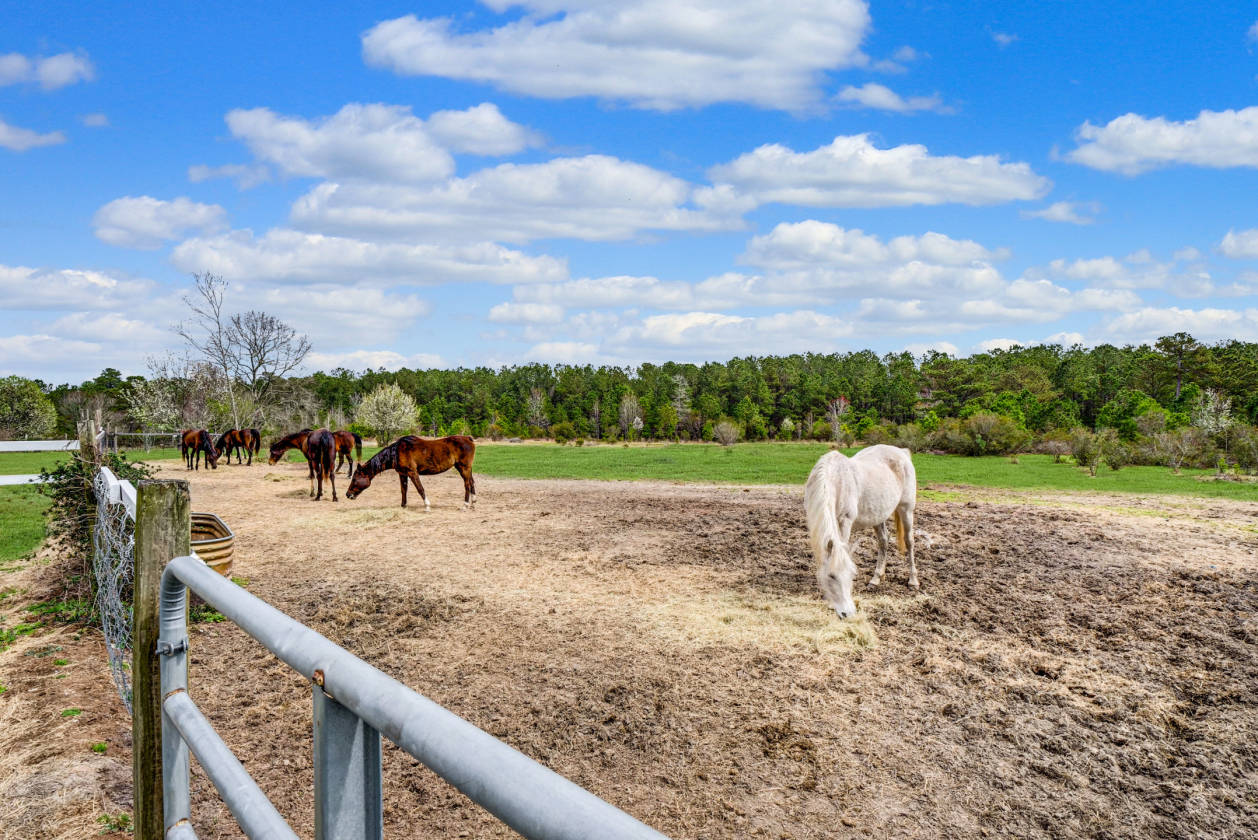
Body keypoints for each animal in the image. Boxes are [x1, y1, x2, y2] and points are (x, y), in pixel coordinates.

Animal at [345, 435, 476, 510]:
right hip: (465, 468)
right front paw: (403, 505)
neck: (396, 452)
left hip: (463, 467)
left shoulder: (412, 472)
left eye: (354, 479)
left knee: (467, 484)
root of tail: (468, 439)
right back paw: (473, 503)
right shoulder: (402, 474)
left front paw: (427, 505)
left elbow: (420, 489)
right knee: (472, 482)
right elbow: (403, 490)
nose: (347, 494)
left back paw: (465, 505)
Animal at [803, 444, 917, 619]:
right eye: (832, 576)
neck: (835, 480)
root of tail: (902, 452)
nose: (847, 613)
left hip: (906, 509)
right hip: (878, 514)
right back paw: (876, 579)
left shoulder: (845, 521)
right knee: (883, 541)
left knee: (909, 541)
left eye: (852, 574)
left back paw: (913, 581)